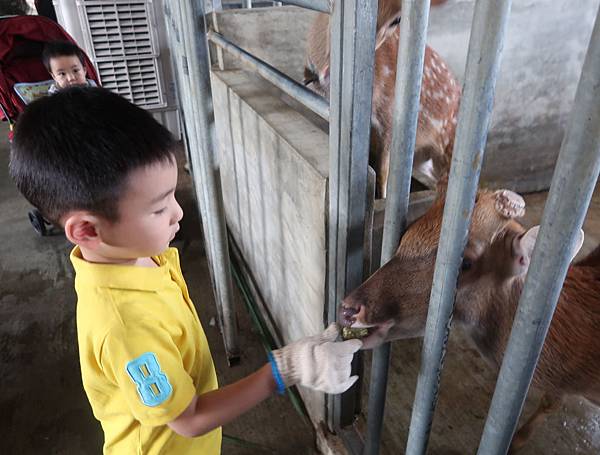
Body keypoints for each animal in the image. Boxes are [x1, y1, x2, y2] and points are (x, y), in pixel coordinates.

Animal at [304, 0, 460, 200]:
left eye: (398, 19)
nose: (327, 73)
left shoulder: (390, 119)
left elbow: (383, 172)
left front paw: (382, 198)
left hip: (448, 146)